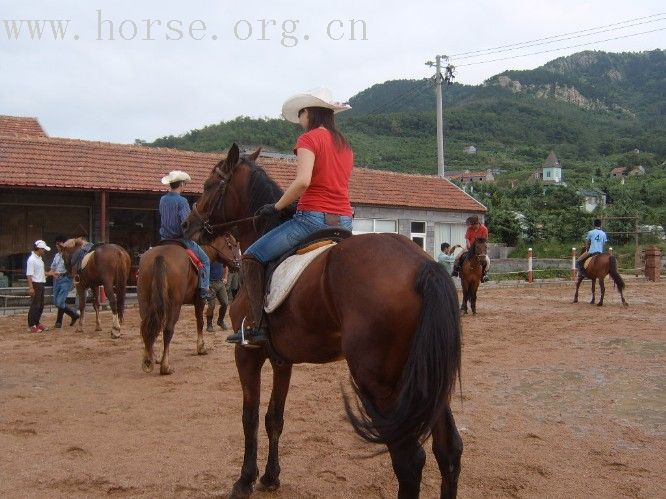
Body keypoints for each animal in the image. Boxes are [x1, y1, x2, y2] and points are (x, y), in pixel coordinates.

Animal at [139, 233, 241, 376]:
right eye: (232, 246)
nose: (238, 264)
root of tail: (160, 256)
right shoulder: (199, 300)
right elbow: (200, 322)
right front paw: (201, 347)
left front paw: (159, 357)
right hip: (174, 304)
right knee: (168, 329)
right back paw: (166, 366)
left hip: (145, 301)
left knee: (147, 327)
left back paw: (148, 360)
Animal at [182, 145, 462, 499]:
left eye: (207, 186)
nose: (186, 225)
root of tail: (422, 265)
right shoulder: (281, 359)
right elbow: (274, 417)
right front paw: (270, 476)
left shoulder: (247, 353)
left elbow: (249, 417)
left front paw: (245, 480)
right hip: (426, 380)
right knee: (449, 450)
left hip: (382, 385)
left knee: (409, 461)